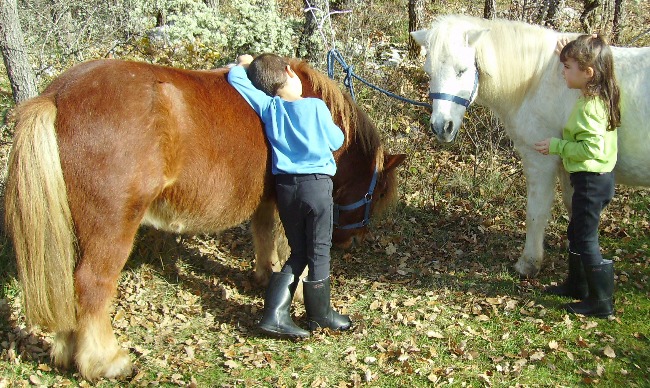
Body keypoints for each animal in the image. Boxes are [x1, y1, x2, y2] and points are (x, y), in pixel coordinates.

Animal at [2, 58, 402, 378]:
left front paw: (265, 275)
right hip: (111, 228)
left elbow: (263, 235)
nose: (352, 240)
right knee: (91, 285)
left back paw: (69, 351)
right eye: (378, 193)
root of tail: (56, 96)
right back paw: (106, 361)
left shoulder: (266, 199)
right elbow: (290, 249)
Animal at [412, 13, 644, 278]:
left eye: (462, 70)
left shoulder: (540, 161)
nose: (442, 127)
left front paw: (529, 263)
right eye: (429, 72)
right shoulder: (567, 167)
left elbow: (536, 211)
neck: (537, 80)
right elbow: (572, 208)